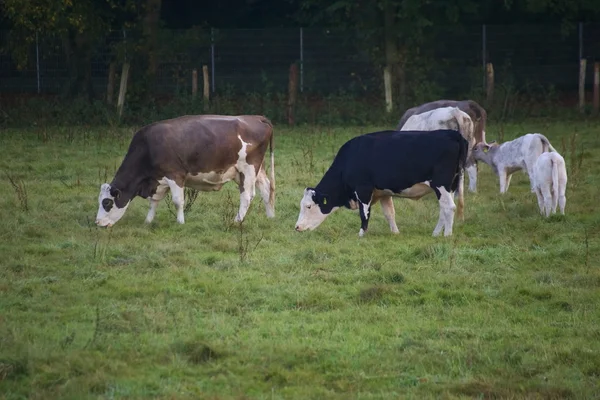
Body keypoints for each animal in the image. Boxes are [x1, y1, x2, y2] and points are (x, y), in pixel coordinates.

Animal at [95, 115, 276, 228]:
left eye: (107, 202)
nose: (97, 223)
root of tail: (256, 117)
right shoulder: (158, 179)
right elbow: (154, 201)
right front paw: (148, 221)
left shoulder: (175, 175)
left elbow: (177, 201)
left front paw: (180, 222)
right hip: (257, 170)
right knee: (267, 189)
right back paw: (270, 217)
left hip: (248, 168)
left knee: (247, 196)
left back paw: (237, 221)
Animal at [296, 130, 468, 238]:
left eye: (308, 206)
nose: (297, 227)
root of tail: (453, 133)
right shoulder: (384, 193)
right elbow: (389, 213)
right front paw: (395, 233)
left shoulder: (363, 189)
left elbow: (364, 213)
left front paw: (361, 234)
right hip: (450, 186)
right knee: (443, 209)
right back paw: (436, 233)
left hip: (441, 184)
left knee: (449, 207)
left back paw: (447, 235)